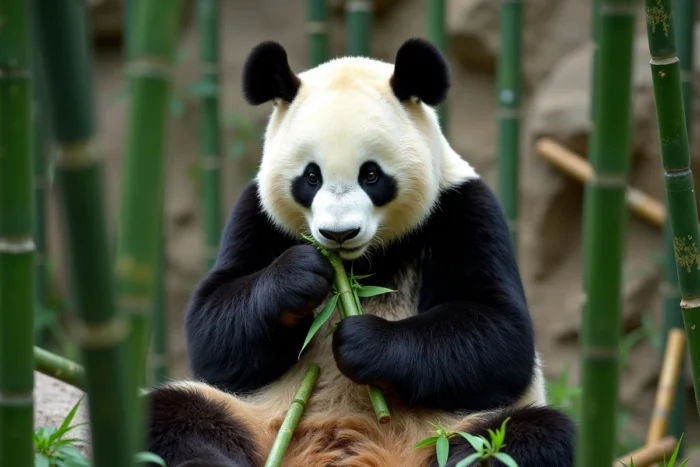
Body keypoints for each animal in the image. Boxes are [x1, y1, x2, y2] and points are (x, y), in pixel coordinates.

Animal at [145, 38, 576, 467]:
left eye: (371, 175)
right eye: (311, 176)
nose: (339, 234)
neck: (362, 263)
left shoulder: (462, 207)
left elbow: (499, 333)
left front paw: (362, 341)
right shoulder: (257, 214)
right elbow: (213, 328)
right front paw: (300, 275)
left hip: (447, 430)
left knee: (523, 434)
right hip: (251, 414)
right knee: (175, 412)